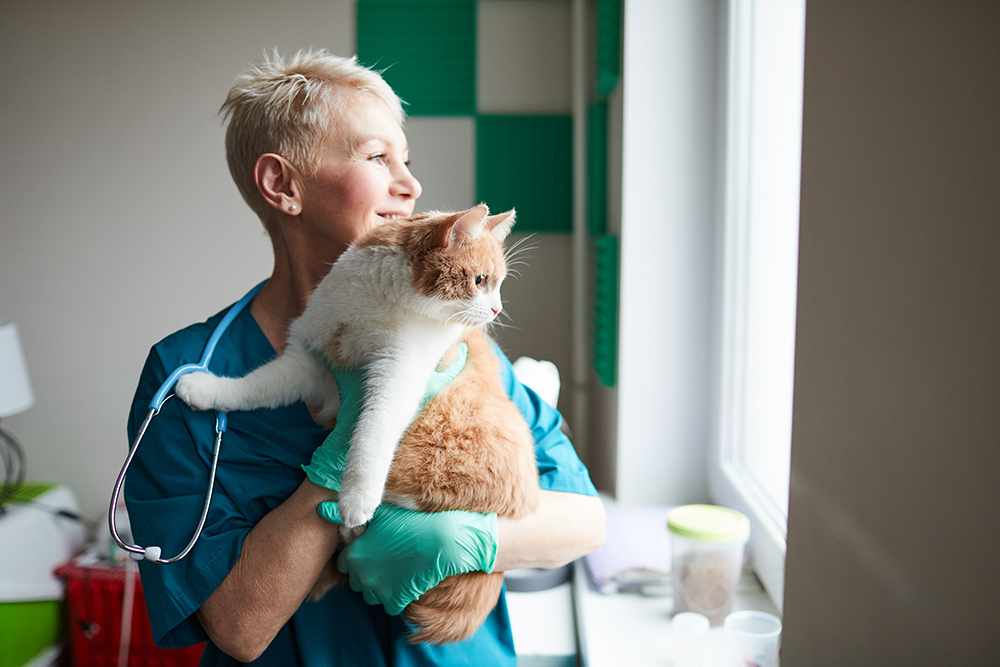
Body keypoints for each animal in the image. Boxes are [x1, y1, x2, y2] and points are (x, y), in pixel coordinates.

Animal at [176, 206, 544, 644]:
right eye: (480, 280)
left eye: (496, 284)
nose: (496, 311)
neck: (375, 302)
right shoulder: (309, 364)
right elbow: (254, 386)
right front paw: (205, 388)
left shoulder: (397, 377)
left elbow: (371, 434)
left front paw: (355, 500)